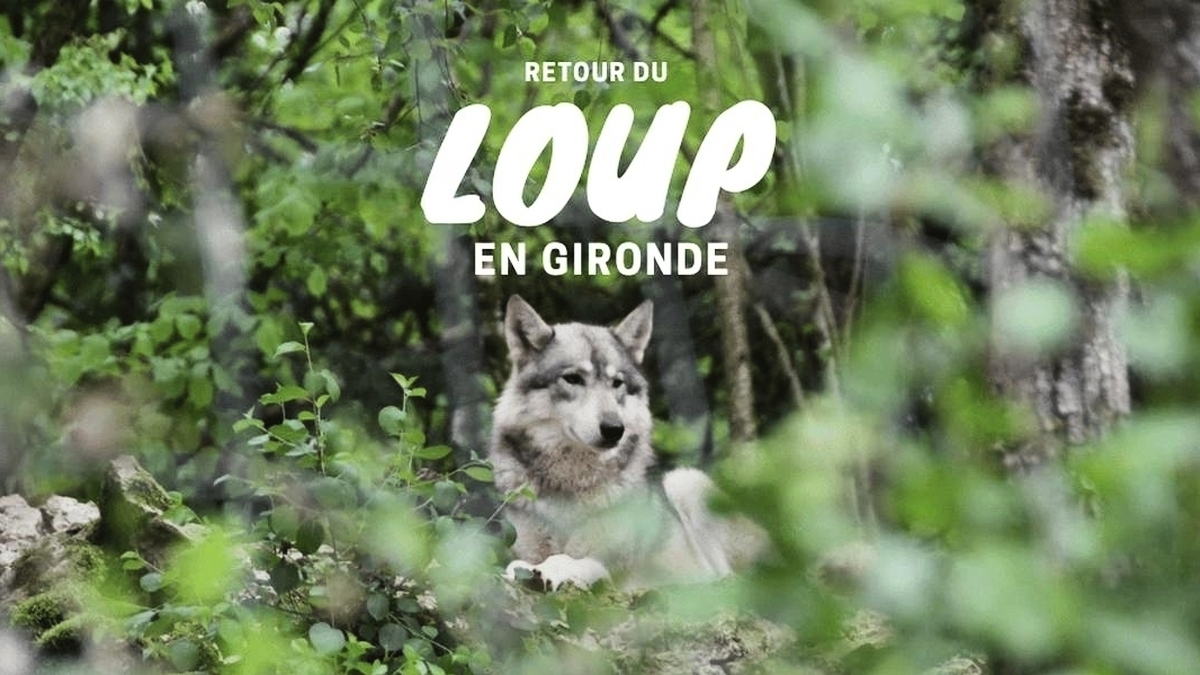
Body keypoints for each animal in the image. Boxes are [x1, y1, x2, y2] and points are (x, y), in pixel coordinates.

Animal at [489, 295, 765, 590]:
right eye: (573, 378)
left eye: (616, 383)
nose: (614, 429)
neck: (572, 483)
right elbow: (518, 562)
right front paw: (524, 570)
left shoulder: (610, 571)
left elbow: (569, 558)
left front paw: (548, 570)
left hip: (685, 481)